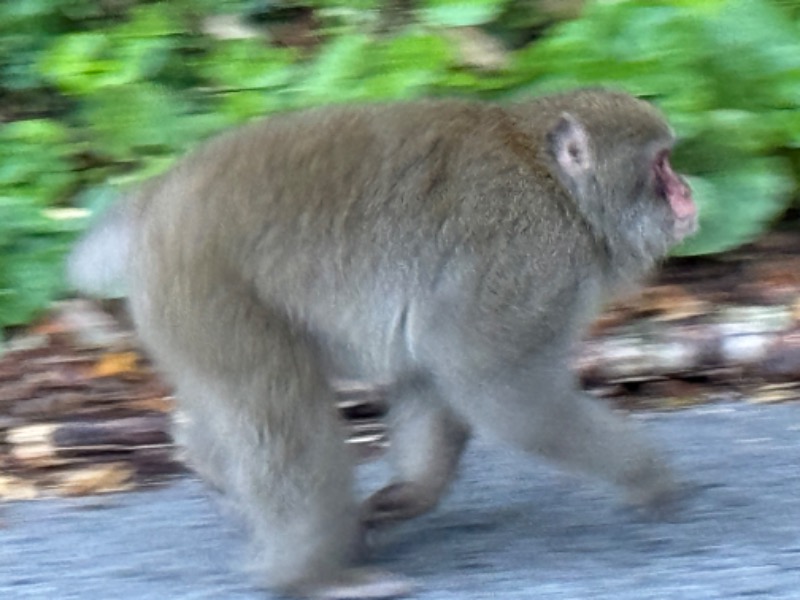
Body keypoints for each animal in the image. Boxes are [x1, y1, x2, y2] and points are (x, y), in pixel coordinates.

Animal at [67, 86, 692, 596]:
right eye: (662, 165)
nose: (687, 193)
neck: (558, 192)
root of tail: (157, 195)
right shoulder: (523, 263)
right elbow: (501, 392)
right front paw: (648, 476)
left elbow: (431, 375)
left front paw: (409, 495)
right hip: (208, 287)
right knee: (285, 418)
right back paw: (308, 578)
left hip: (181, 313)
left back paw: (214, 473)